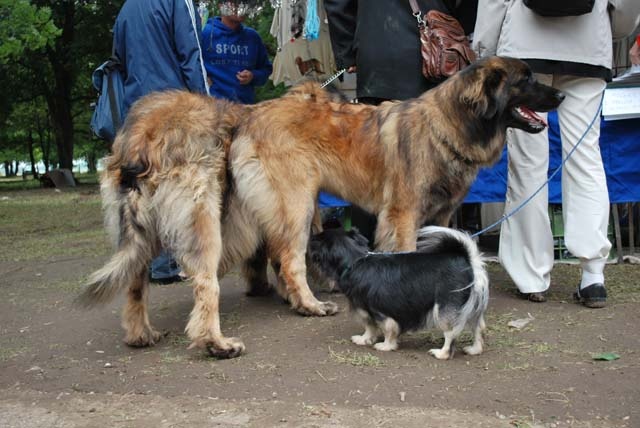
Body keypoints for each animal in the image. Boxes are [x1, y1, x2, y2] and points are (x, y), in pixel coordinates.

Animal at [230, 55, 564, 316]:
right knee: (289, 259)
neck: (444, 128)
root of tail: (250, 117)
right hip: (296, 205)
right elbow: (409, 251)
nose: (562, 95)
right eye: (526, 78)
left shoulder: (441, 214)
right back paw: (310, 304)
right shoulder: (404, 214)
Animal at [308, 226, 488, 360]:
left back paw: (441, 353)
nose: (309, 239)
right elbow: (370, 327)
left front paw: (385, 346)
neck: (355, 261)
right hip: (471, 309)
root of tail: (467, 261)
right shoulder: (368, 310)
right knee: (478, 328)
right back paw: (474, 349)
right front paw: (364, 339)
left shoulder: (375, 310)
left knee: (451, 334)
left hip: (445, 310)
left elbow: (385, 328)